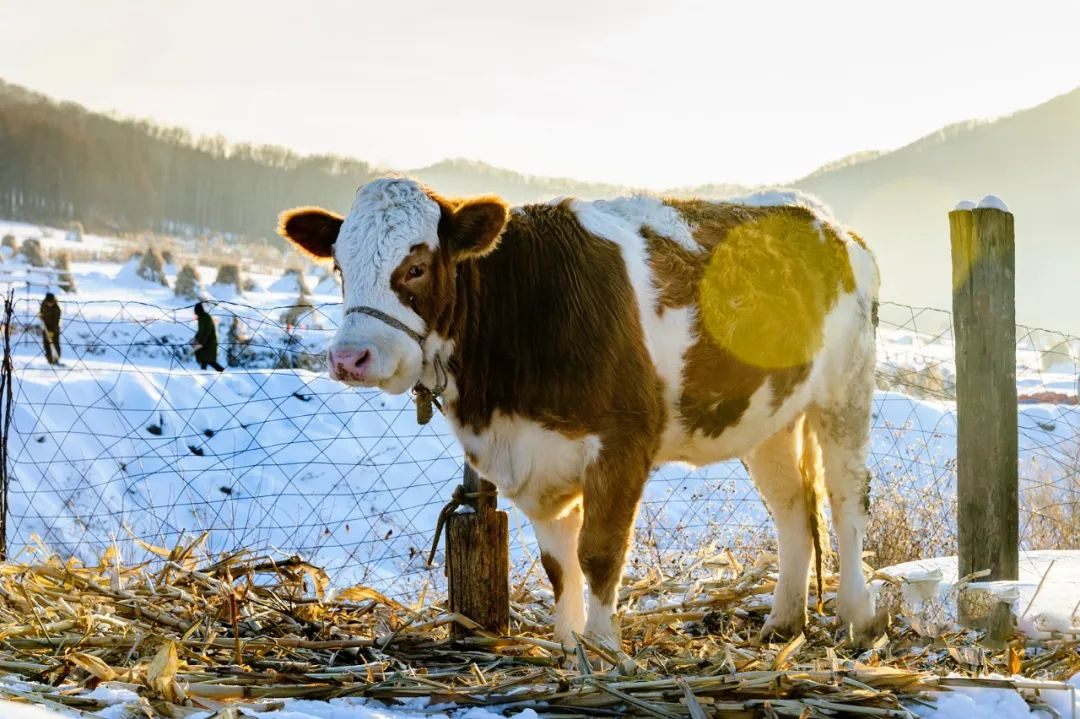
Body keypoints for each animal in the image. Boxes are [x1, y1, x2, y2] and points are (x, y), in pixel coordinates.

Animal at [278, 176, 881, 647]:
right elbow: (557, 563)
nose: (350, 358)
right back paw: (783, 622)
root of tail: (826, 221)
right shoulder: (534, 453)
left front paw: (604, 650)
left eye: (417, 267)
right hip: (769, 415)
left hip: (845, 388)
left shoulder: (623, 442)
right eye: (339, 265)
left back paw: (857, 618)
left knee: (845, 495)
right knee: (791, 504)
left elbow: (598, 553)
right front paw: (570, 647)